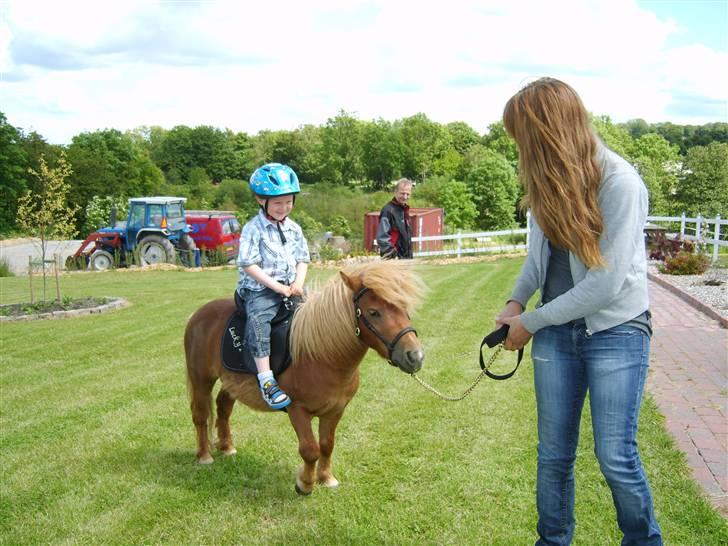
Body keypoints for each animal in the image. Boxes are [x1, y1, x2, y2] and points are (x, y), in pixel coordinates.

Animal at [183, 260, 426, 492]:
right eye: (374, 312)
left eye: (404, 307)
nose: (415, 356)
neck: (322, 356)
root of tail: (198, 314)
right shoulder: (297, 410)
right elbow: (310, 449)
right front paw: (305, 484)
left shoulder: (335, 410)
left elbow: (327, 444)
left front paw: (326, 478)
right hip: (201, 379)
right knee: (201, 415)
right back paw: (204, 456)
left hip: (232, 381)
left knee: (223, 407)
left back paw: (227, 447)